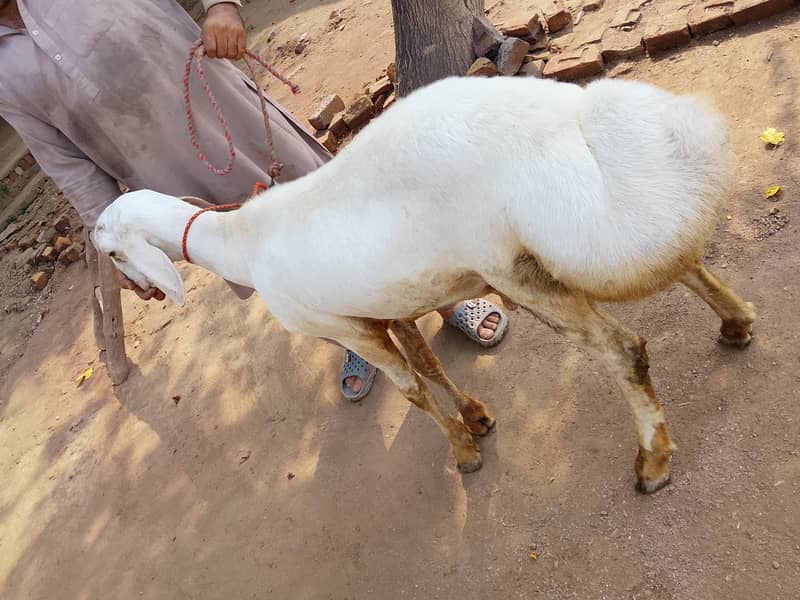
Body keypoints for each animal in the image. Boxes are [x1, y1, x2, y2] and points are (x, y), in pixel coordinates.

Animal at [93, 76, 756, 493]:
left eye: (110, 251)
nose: (139, 292)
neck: (242, 244)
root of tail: (572, 127)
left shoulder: (343, 327)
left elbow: (410, 390)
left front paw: (463, 454)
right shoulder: (386, 306)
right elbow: (430, 365)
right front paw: (477, 419)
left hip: (516, 265)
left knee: (624, 350)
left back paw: (653, 463)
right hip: (577, 233)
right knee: (681, 259)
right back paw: (736, 323)